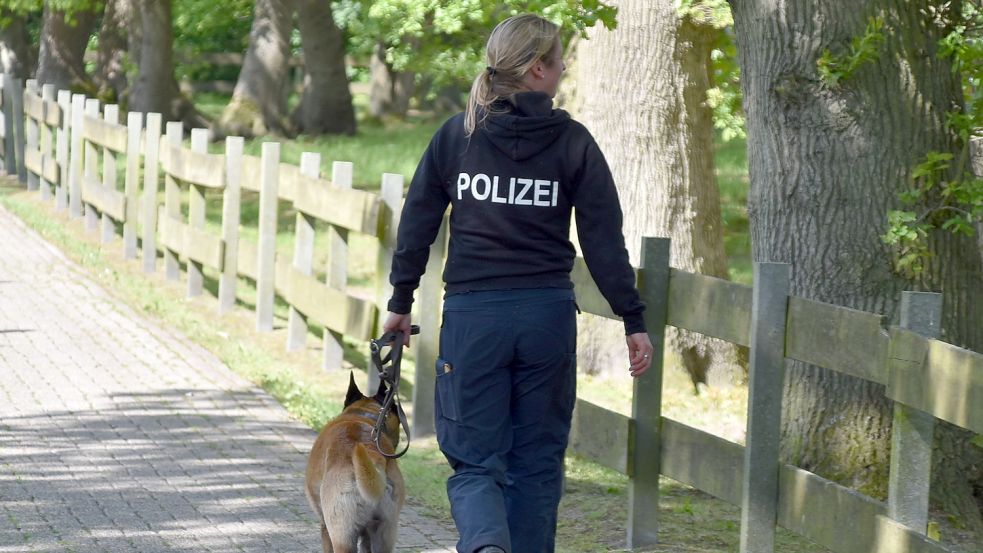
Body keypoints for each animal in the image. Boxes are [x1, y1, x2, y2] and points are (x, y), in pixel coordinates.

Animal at [304, 374, 404, 548]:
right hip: (384, 533)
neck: (364, 414)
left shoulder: (325, 528)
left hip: (342, 536)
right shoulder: (367, 537)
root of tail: (373, 457)